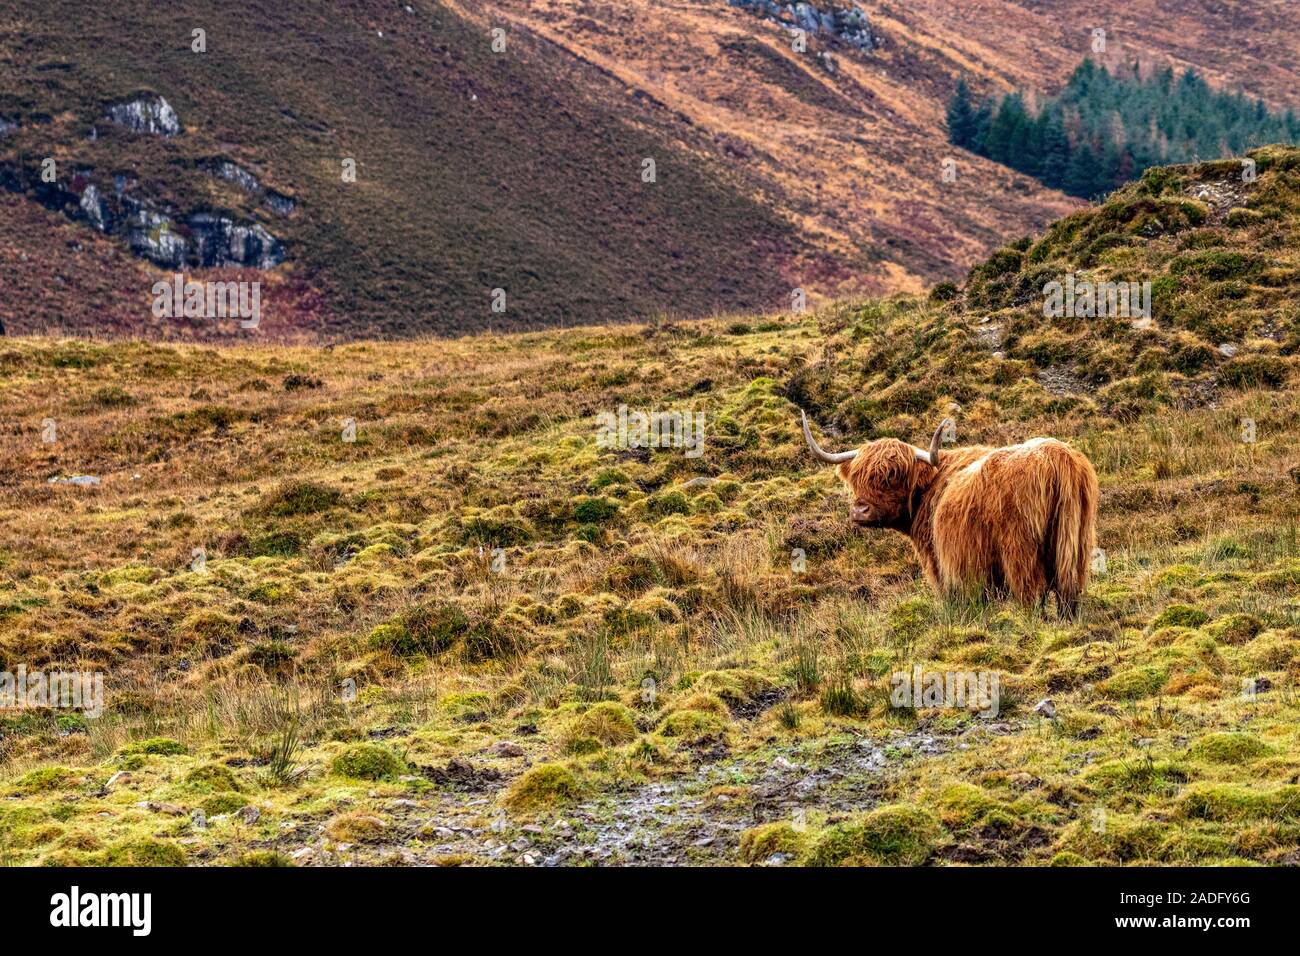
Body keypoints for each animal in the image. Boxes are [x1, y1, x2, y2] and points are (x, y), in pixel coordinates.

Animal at [800, 411, 1098, 616]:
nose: (860, 510)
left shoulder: (941, 564)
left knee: (1031, 595)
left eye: (892, 476)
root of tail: (1058, 456)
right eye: (858, 477)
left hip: (1020, 551)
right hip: (1075, 547)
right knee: (1069, 598)